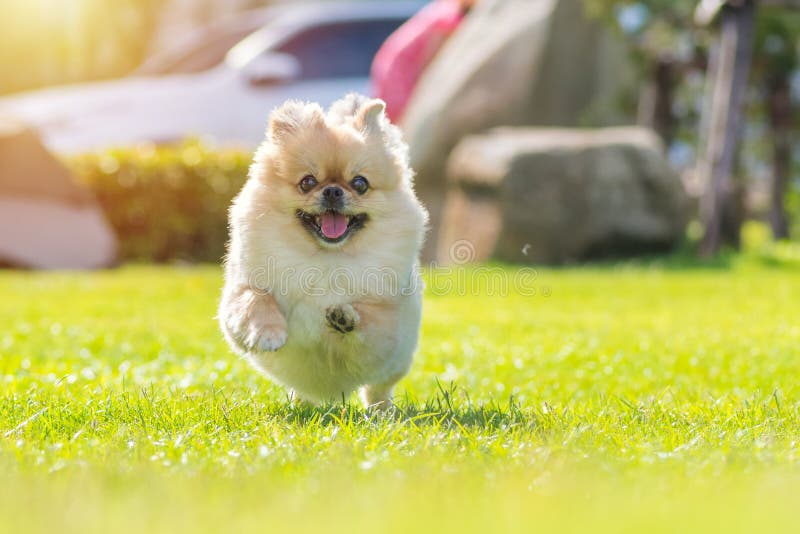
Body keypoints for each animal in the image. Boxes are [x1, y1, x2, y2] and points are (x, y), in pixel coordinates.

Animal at [219, 94, 428, 408]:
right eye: (307, 182)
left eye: (360, 183)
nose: (332, 191)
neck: (325, 258)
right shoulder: (241, 290)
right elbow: (255, 299)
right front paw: (268, 333)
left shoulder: (386, 330)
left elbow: (368, 323)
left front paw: (345, 318)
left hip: (397, 362)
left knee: (378, 390)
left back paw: (382, 411)